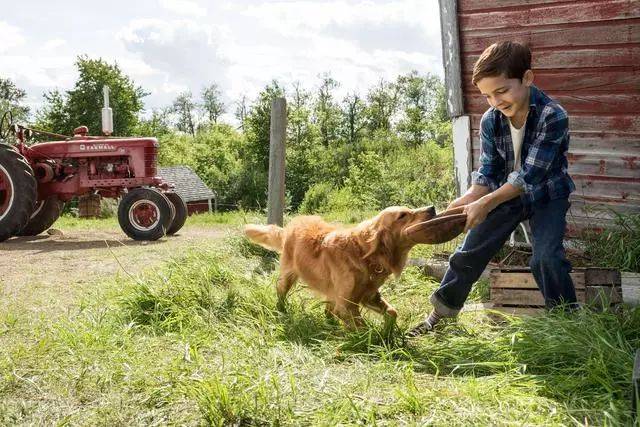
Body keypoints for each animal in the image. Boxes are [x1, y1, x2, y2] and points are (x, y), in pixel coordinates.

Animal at [242, 206, 438, 330]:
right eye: (403, 215)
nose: (432, 208)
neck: (364, 255)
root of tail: (290, 226)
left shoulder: (368, 295)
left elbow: (392, 312)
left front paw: (389, 333)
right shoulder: (346, 304)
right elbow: (362, 328)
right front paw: (375, 340)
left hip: (331, 290)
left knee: (328, 310)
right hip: (288, 277)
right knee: (281, 292)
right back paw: (281, 310)